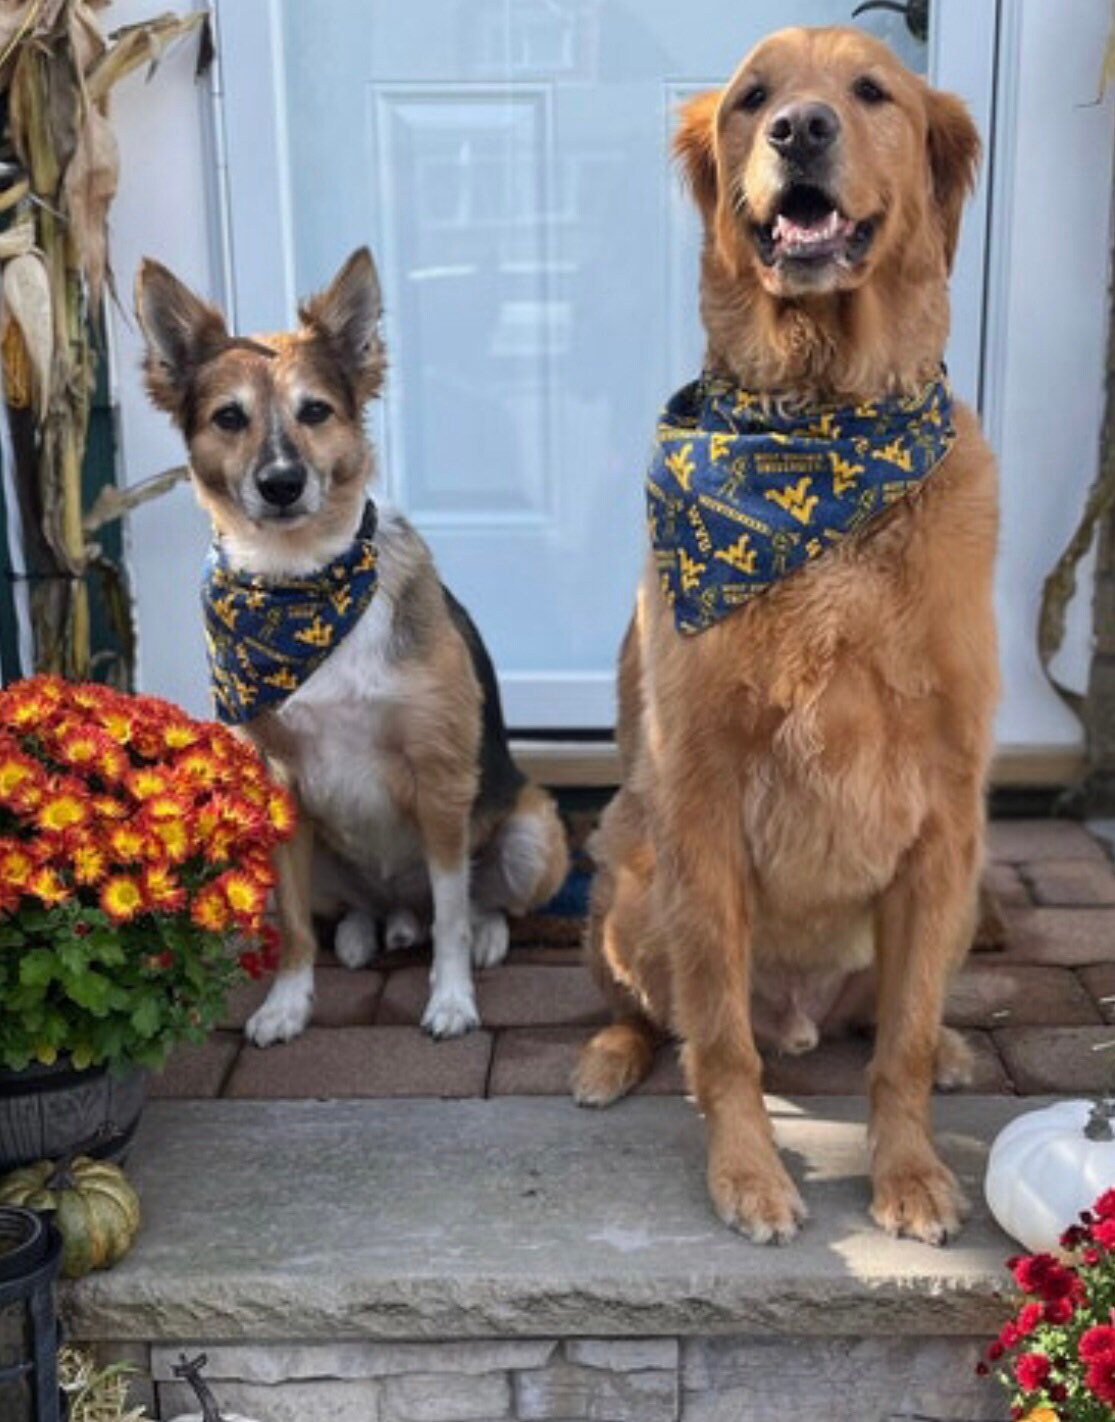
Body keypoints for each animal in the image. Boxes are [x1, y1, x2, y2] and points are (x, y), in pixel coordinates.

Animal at [137, 247, 566, 1046]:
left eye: (315, 411)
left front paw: (451, 999)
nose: (281, 483)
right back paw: (369, 932)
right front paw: (287, 1003)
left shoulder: (440, 780)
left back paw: (480, 936)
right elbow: (293, 928)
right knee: (363, 910)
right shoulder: (276, 787)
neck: (301, 584)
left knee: (475, 901)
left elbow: (454, 916)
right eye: (228, 417)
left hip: (530, 834)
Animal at [571, 25, 995, 1245]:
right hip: (631, 875)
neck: (820, 426)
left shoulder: (946, 813)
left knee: (880, 1023)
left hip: (966, 886)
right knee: (661, 1016)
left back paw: (954, 1049)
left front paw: (906, 1173)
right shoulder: (703, 797)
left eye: (870, 92)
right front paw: (747, 1176)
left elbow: (899, 1046)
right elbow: (720, 1044)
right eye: (752, 98)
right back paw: (608, 1056)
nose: (798, 130)